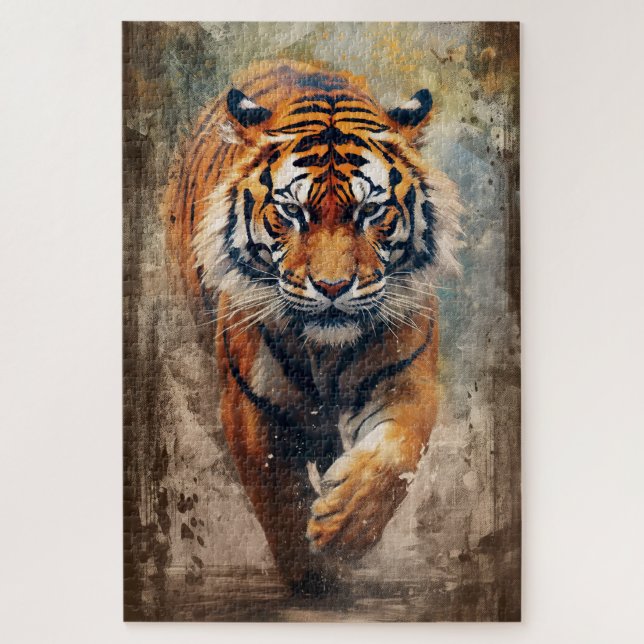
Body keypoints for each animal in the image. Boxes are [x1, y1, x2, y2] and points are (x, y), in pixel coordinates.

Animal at [163, 60, 461, 593]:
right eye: (292, 212)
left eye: (369, 211)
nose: (332, 286)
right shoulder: (252, 405)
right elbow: (279, 497)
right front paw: (311, 571)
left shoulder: (406, 379)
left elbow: (394, 456)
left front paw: (345, 527)